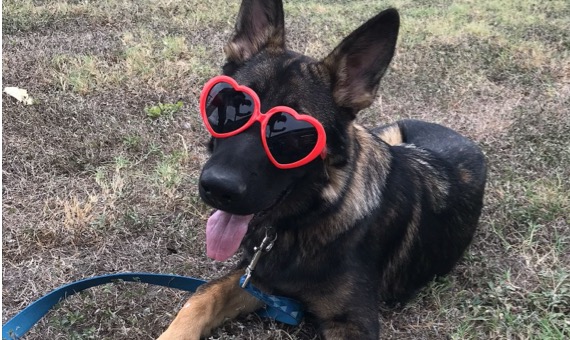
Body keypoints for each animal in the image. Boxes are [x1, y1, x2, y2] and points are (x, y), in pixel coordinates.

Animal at [159, 1, 484, 338]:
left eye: (294, 136)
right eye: (230, 107)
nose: (217, 188)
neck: (312, 215)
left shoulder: (352, 322)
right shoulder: (254, 279)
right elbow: (201, 297)